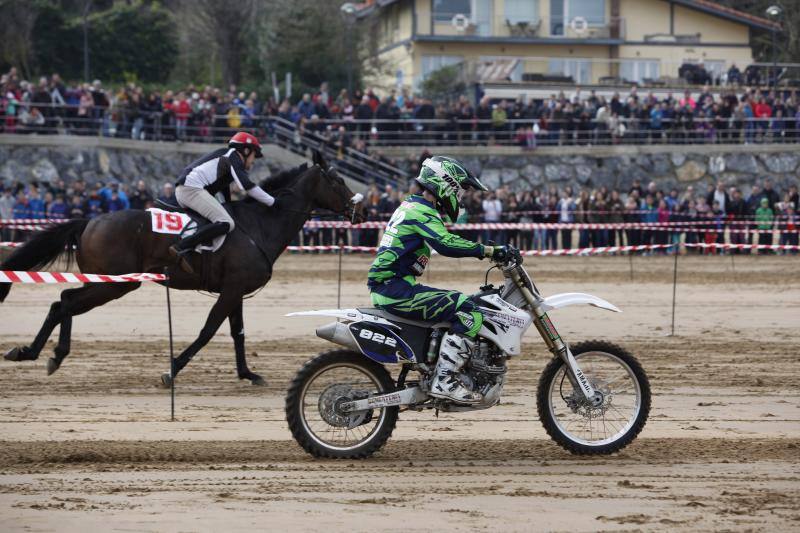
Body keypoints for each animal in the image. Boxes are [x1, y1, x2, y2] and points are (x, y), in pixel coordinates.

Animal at [1, 152, 364, 384]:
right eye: (336, 180)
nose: (359, 211)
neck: (260, 225)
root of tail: (89, 220)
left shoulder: (235, 290)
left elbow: (238, 333)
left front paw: (247, 374)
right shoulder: (231, 290)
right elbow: (208, 331)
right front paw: (172, 369)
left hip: (108, 281)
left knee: (62, 301)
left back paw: (38, 353)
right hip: (116, 283)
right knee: (65, 301)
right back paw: (42, 353)